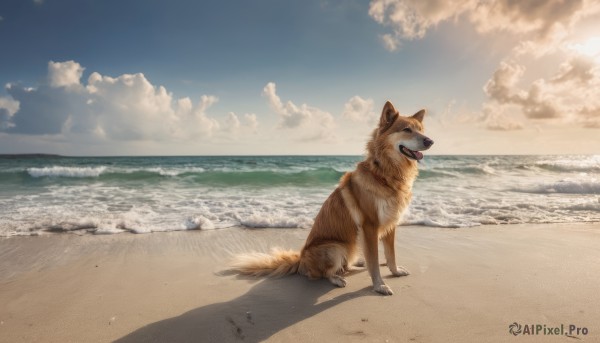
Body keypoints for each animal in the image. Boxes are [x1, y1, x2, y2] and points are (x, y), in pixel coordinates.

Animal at [230, 100, 432, 296]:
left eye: (421, 130)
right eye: (407, 129)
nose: (430, 141)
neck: (383, 173)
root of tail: (301, 260)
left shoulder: (390, 224)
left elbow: (390, 254)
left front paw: (395, 271)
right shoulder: (370, 226)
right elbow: (374, 262)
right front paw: (379, 285)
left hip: (351, 244)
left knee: (347, 264)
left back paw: (358, 263)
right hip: (336, 247)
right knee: (324, 273)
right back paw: (337, 278)